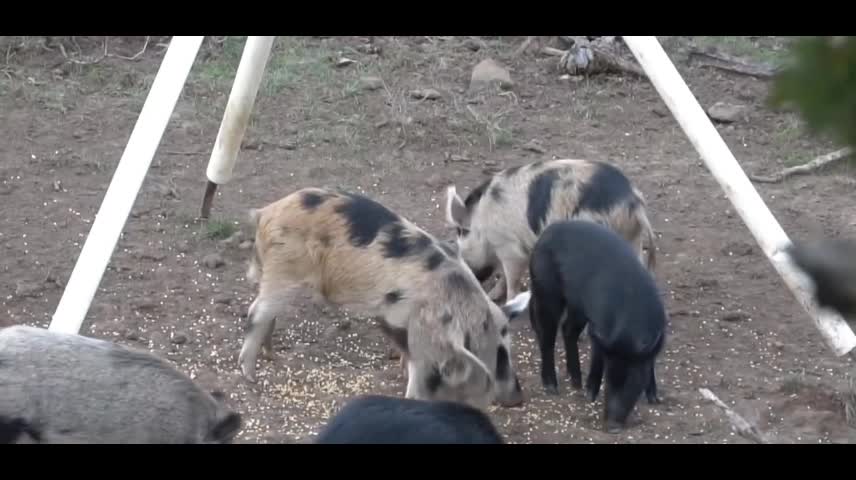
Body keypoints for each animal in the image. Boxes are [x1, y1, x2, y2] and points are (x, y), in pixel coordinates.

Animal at [237, 188, 524, 408]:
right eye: (497, 354)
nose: (517, 399)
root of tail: (265, 214)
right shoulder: (410, 325)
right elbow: (416, 368)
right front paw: (413, 395)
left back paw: (273, 356)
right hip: (284, 270)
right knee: (256, 312)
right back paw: (250, 375)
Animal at [448, 159, 656, 302]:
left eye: (460, 248)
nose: (476, 277)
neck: (480, 224)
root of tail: (634, 203)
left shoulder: (510, 248)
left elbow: (511, 278)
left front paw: (505, 301)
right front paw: (492, 295)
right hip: (633, 239)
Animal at [508, 221, 668, 436]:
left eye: (633, 379)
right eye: (610, 377)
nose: (612, 426)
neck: (630, 329)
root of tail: (545, 234)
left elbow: (650, 366)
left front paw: (655, 400)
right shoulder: (600, 332)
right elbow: (597, 360)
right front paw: (590, 394)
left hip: (577, 307)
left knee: (567, 330)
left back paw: (575, 381)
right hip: (546, 292)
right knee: (547, 337)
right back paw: (553, 388)